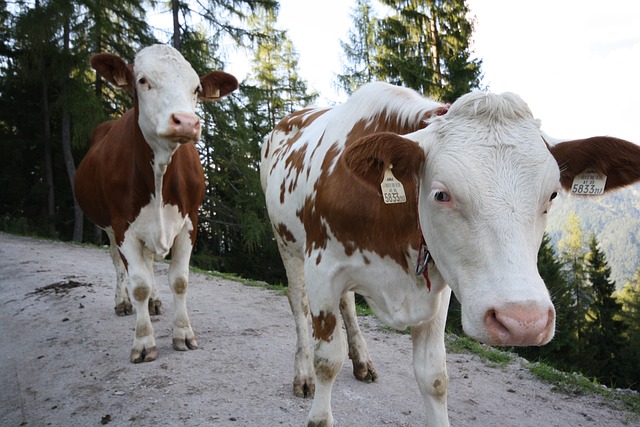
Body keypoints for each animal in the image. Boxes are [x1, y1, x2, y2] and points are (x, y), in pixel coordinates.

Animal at [75, 44, 239, 364]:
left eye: (196, 88)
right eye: (143, 81)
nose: (186, 122)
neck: (161, 172)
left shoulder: (190, 221)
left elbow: (179, 280)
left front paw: (183, 334)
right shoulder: (122, 226)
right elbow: (138, 283)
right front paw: (143, 342)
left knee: (150, 263)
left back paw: (155, 302)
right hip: (108, 226)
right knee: (118, 264)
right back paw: (123, 303)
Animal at [258, 82, 640, 426]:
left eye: (552, 195)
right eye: (441, 194)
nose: (523, 322)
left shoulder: (438, 288)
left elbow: (434, 377)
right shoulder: (323, 269)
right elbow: (327, 361)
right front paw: (318, 402)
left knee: (348, 304)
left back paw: (363, 361)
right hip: (286, 242)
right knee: (298, 303)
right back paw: (303, 374)